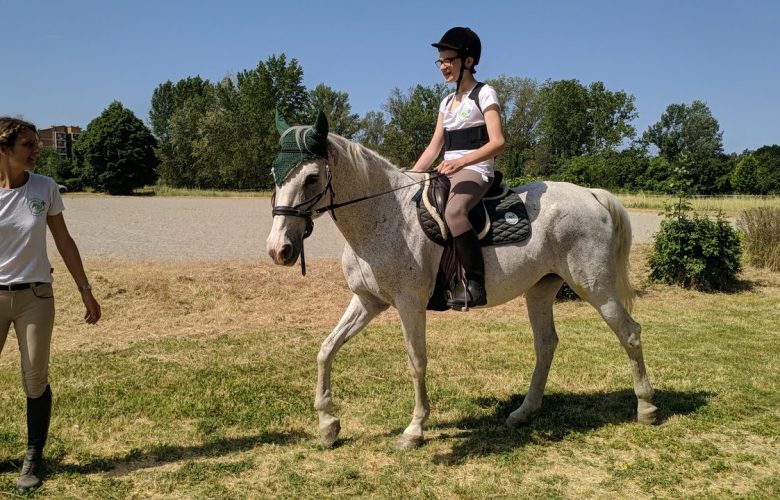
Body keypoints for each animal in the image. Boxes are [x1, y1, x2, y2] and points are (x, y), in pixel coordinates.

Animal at [268, 118, 660, 450]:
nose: (278, 250)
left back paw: (646, 408)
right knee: (546, 344)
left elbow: (416, 361)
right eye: (274, 171)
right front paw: (328, 425)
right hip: (541, 289)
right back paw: (524, 412)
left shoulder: (409, 305)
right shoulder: (367, 300)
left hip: (595, 287)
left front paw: (414, 430)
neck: (385, 216)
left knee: (630, 333)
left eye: (312, 177)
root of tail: (591, 194)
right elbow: (326, 349)